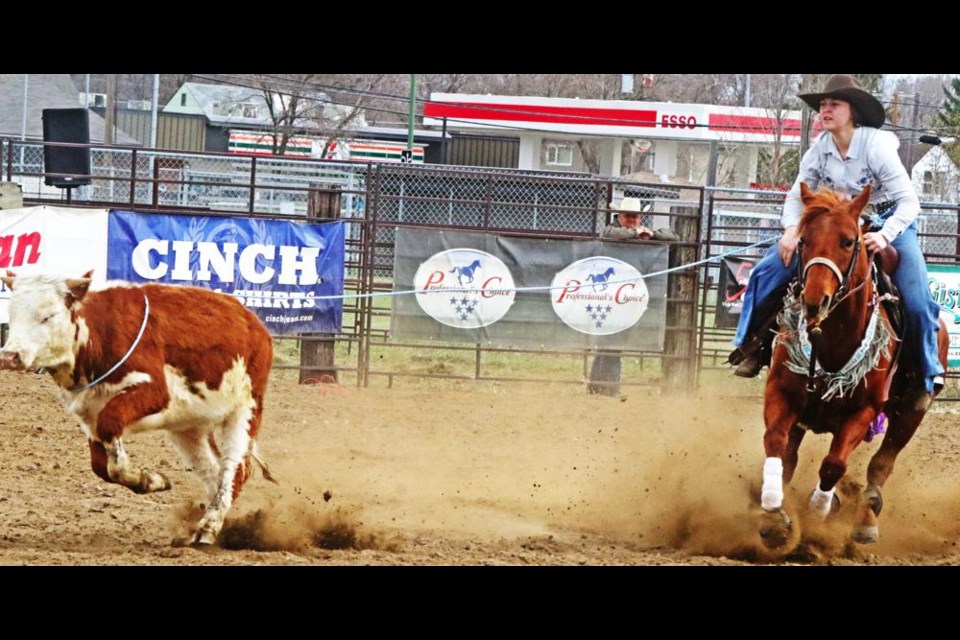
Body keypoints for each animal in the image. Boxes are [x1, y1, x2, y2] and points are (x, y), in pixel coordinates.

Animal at [0, 270, 276, 544]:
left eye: (48, 316)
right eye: (12, 313)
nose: (10, 356)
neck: (100, 332)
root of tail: (254, 323)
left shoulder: (153, 393)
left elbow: (111, 435)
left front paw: (150, 479)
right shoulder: (89, 414)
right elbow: (100, 466)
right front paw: (152, 480)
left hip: (245, 411)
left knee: (233, 470)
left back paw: (208, 527)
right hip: (189, 428)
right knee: (213, 470)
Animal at [756, 181, 952, 552]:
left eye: (849, 241)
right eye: (802, 240)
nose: (815, 301)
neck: (830, 338)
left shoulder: (864, 411)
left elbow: (833, 465)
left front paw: (818, 514)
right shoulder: (781, 391)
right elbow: (776, 443)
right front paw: (774, 514)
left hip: (912, 413)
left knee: (881, 464)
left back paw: (866, 518)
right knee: (792, 455)